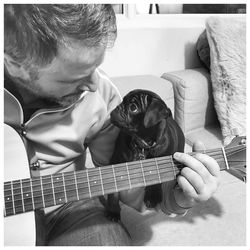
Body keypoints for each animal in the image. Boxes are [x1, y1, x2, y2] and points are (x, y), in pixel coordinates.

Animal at [104, 88, 185, 221]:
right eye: (122, 101)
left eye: (133, 108)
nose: (117, 107)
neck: (142, 144)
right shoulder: (115, 163)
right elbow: (114, 193)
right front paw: (113, 211)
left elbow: (157, 179)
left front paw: (152, 197)